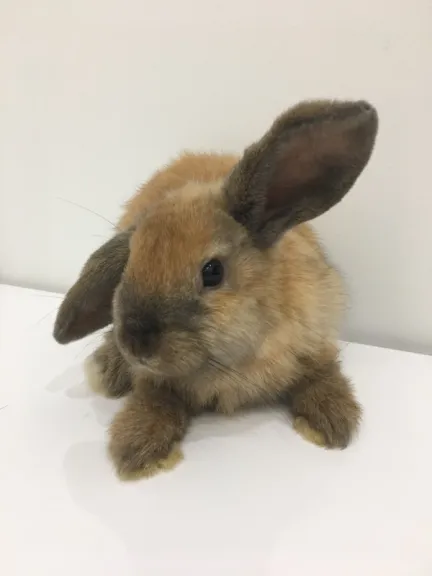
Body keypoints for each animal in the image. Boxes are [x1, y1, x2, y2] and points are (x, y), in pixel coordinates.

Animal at [53, 100, 378, 482]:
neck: (234, 361)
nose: (136, 343)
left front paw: (332, 420)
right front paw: (137, 447)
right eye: (129, 263)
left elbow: (321, 373)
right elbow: (154, 398)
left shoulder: (316, 336)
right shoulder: (155, 381)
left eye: (212, 272)